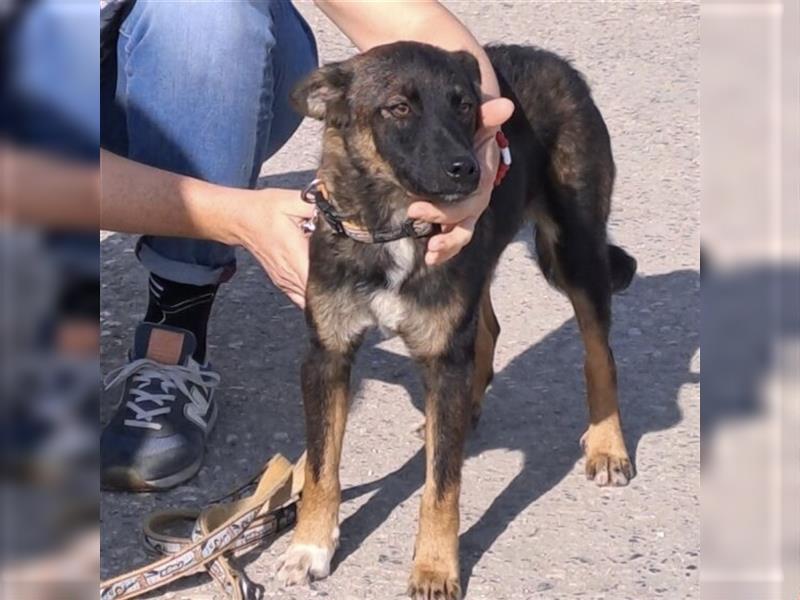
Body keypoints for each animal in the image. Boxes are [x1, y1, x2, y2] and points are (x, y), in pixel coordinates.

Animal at [276, 42, 636, 600]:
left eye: (464, 105)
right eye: (398, 108)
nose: (468, 171)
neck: (394, 226)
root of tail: (554, 60)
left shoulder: (443, 358)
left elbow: (442, 488)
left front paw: (434, 568)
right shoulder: (327, 356)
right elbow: (320, 465)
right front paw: (310, 545)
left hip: (577, 250)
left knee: (601, 355)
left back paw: (606, 445)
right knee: (487, 329)